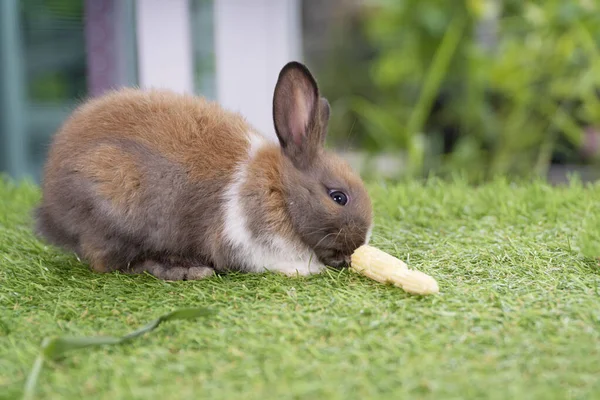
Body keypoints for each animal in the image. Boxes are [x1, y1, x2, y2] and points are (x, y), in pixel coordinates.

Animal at [32, 62, 372, 282]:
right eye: (338, 197)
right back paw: (183, 269)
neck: (280, 188)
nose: (361, 241)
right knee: (113, 263)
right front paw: (308, 269)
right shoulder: (247, 240)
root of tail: (50, 209)